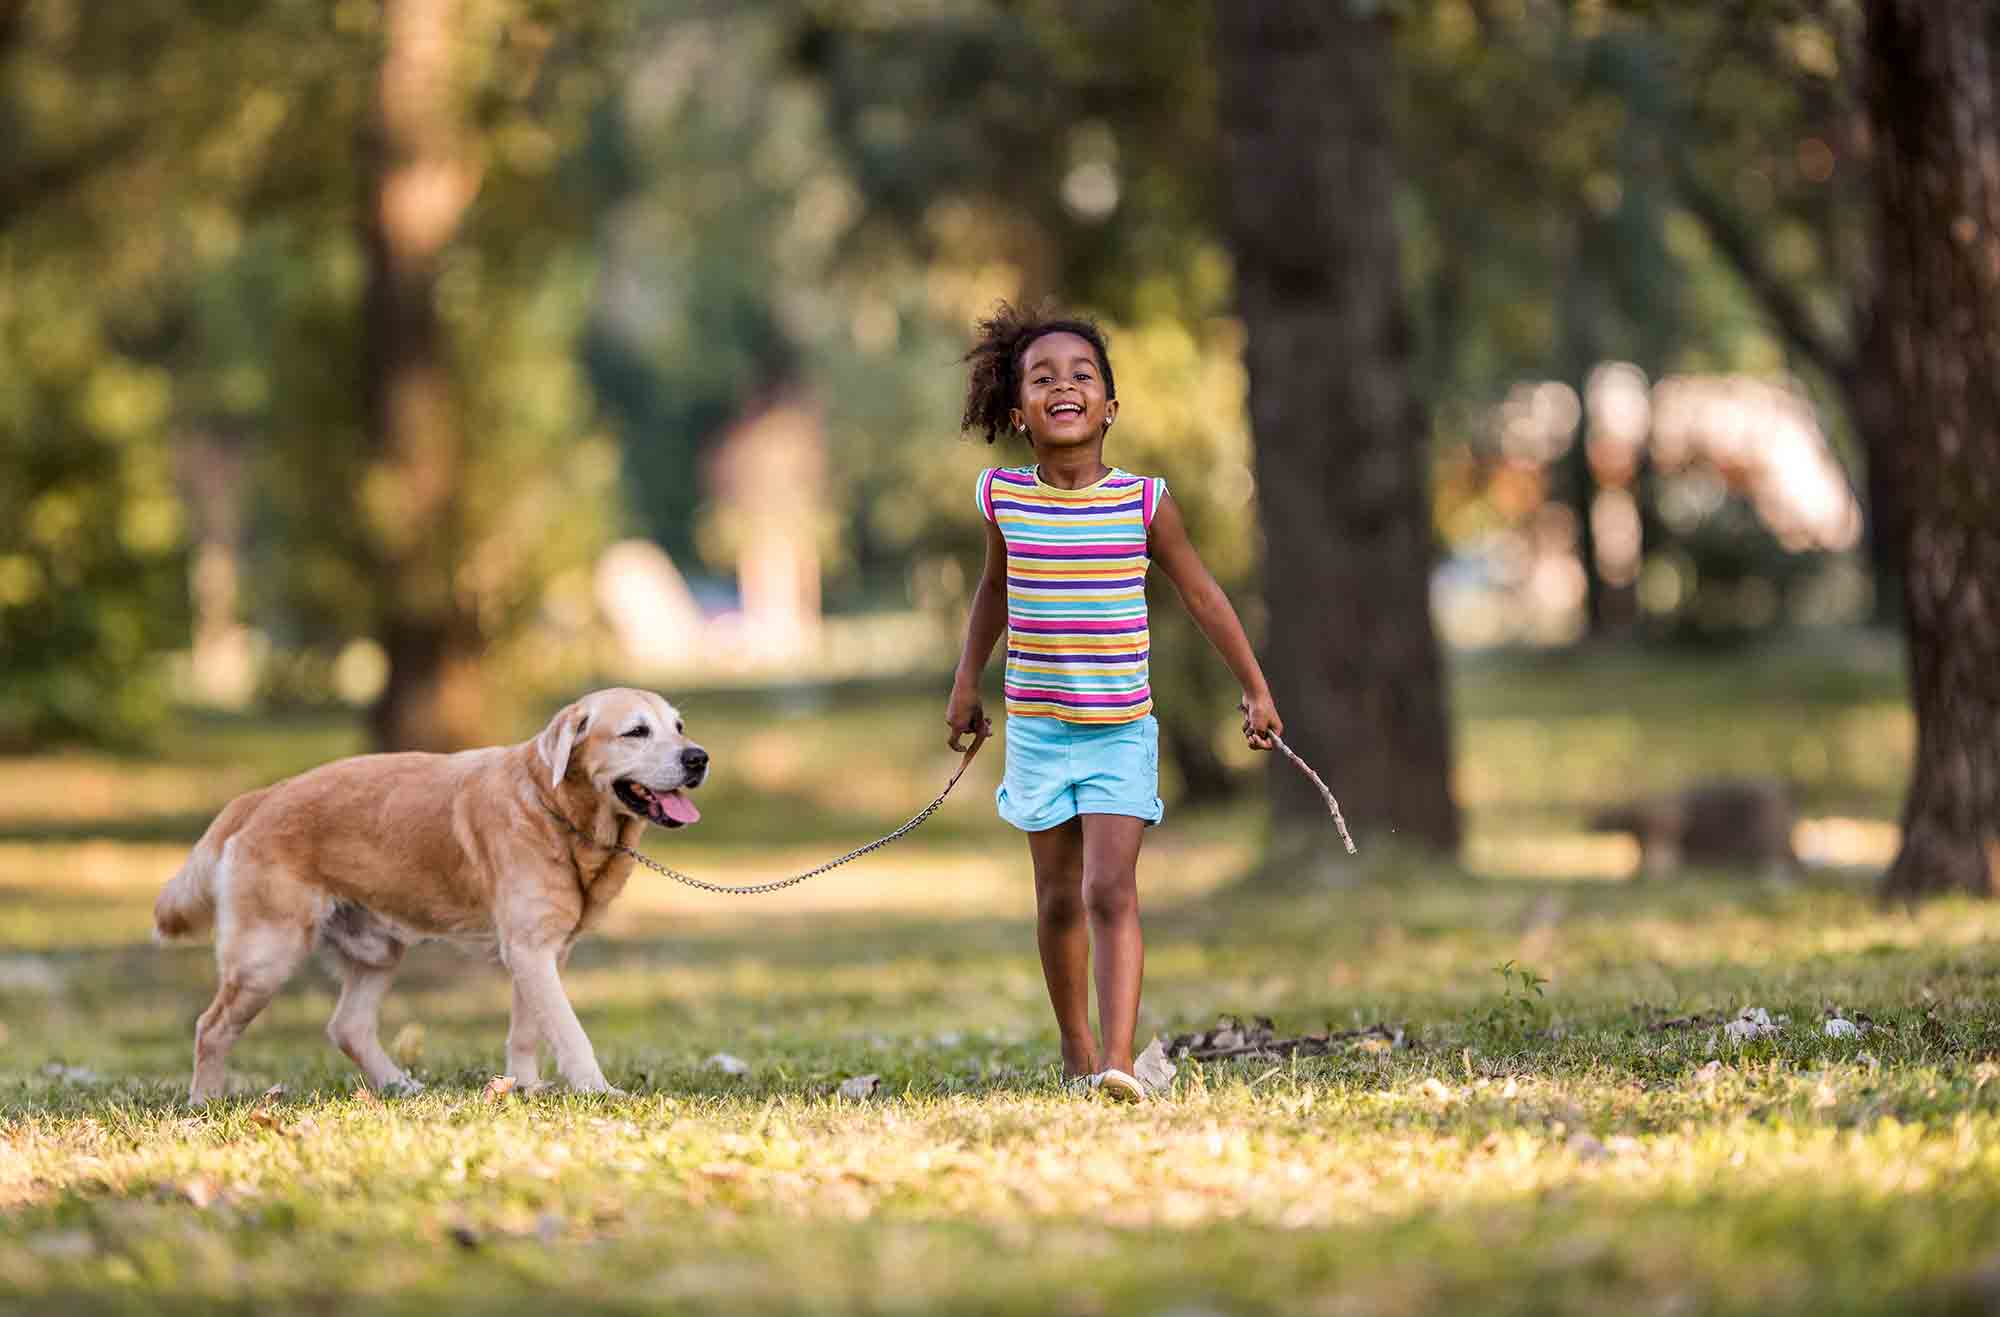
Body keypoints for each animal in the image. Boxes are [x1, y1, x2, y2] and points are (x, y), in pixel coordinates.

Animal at [152, 688, 708, 1096]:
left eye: (679, 726)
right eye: (636, 731)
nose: (698, 758)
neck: (553, 809)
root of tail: (261, 796)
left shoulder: (542, 953)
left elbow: (528, 1031)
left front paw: (525, 1089)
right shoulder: (530, 951)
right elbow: (570, 1032)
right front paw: (598, 1091)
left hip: (377, 951)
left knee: (348, 1027)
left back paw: (401, 1086)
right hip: (265, 959)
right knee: (211, 1027)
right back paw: (205, 1102)